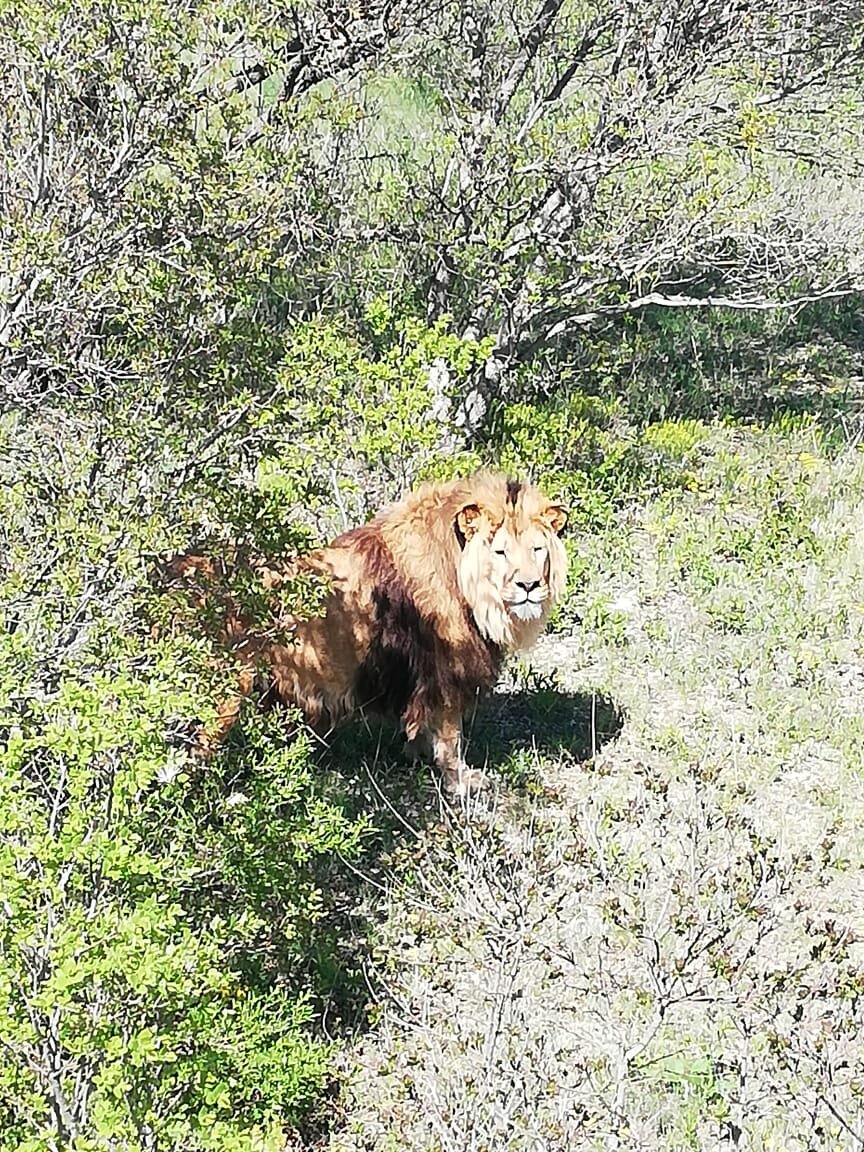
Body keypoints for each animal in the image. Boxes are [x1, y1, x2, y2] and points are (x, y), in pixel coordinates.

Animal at [172, 472, 571, 797]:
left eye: (537, 549)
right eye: (500, 551)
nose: (529, 586)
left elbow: (421, 728)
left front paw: (416, 757)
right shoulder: (446, 670)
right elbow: (450, 736)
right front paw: (461, 782)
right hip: (218, 695)